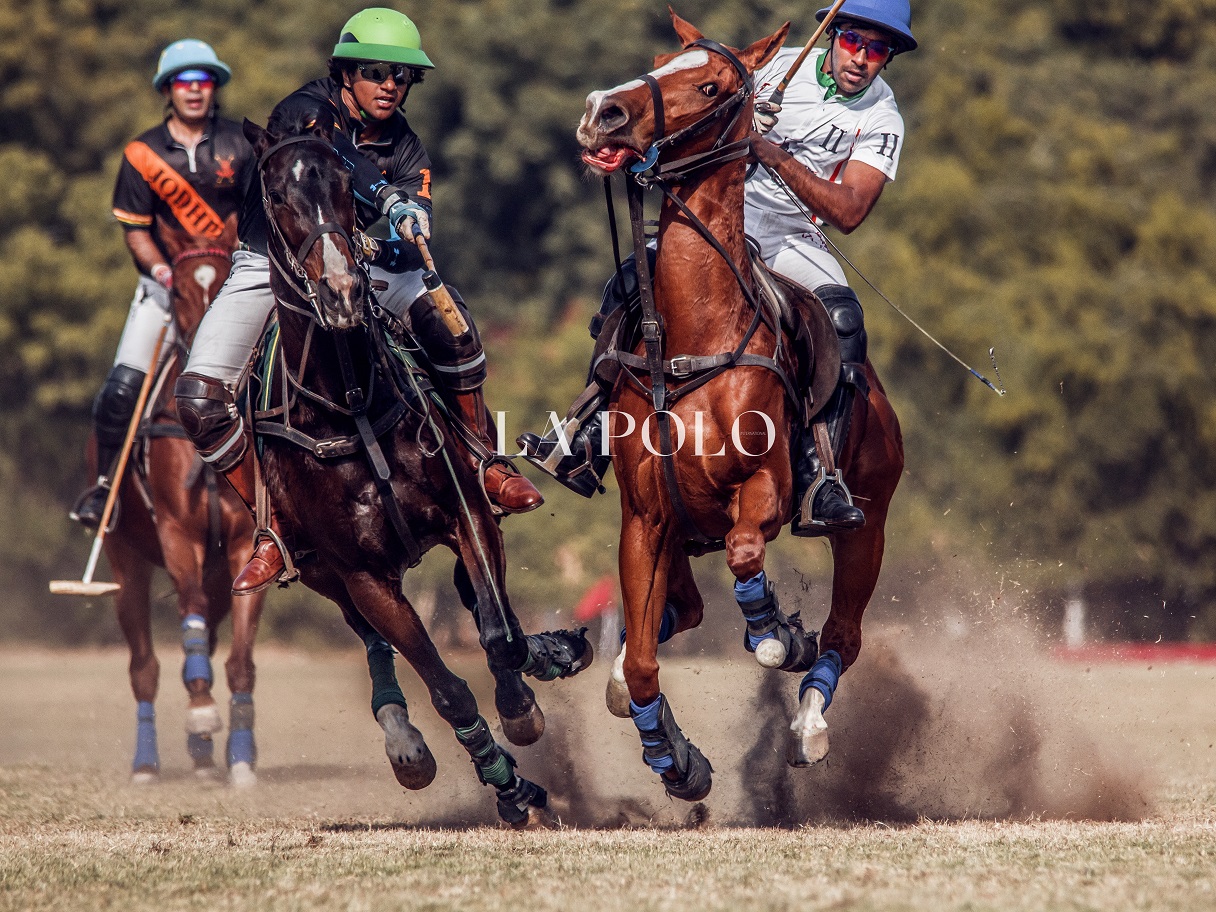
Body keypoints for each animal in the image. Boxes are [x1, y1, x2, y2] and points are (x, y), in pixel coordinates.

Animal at [101, 217, 268, 787]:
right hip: (124, 559)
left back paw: (202, 755)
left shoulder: (242, 547)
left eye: (228, 280)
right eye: (175, 292)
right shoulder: (177, 534)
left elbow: (240, 659)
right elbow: (189, 616)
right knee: (144, 666)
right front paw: (200, 710)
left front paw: (240, 758)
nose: (204, 363)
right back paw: (146, 763)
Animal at [240, 110, 588, 831]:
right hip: (321, 572)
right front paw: (512, 788)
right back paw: (410, 746)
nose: (343, 292)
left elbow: (500, 636)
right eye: (276, 196)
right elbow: (448, 688)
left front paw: (529, 697)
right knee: (374, 643)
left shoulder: (467, 514)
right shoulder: (363, 575)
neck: (349, 403)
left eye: (344, 188)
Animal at [576, 12, 904, 797]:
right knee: (678, 614)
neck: (697, 334)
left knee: (844, 633)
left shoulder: (767, 489)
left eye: (712, 86)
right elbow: (641, 662)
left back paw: (809, 725)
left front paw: (777, 631)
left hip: (870, 520)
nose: (603, 112)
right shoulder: (646, 516)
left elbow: (749, 553)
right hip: (679, 531)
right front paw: (676, 760)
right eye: (661, 59)